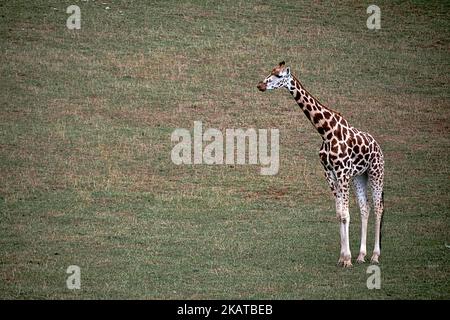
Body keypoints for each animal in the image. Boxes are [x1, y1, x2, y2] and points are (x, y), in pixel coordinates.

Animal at [258, 61, 384, 266]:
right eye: (271, 71)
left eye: (278, 76)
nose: (260, 85)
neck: (326, 131)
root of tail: (379, 147)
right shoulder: (329, 172)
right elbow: (340, 213)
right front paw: (343, 257)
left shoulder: (342, 172)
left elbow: (345, 214)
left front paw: (347, 259)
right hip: (359, 176)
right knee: (365, 208)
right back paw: (361, 255)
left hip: (376, 172)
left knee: (378, 207)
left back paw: (374, 256)